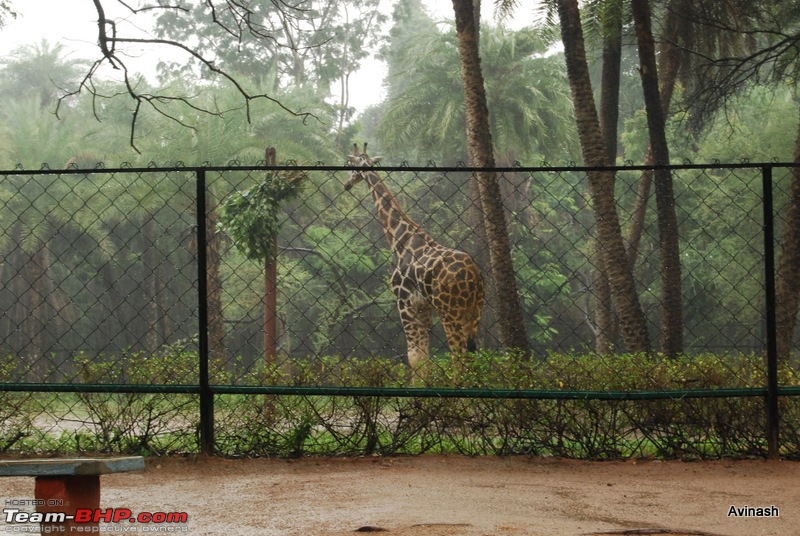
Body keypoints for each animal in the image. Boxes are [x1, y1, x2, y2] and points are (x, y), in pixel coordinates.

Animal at [342, 144, 484, 374]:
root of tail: (474, 278)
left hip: (450, 311)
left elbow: (414, 357)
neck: (400, 241)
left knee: (459, 357)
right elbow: (424, 358)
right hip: (474, 311)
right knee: (471, 355)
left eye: (351, 166)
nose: (346, 184)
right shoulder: (423, 306)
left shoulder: (404, 302)